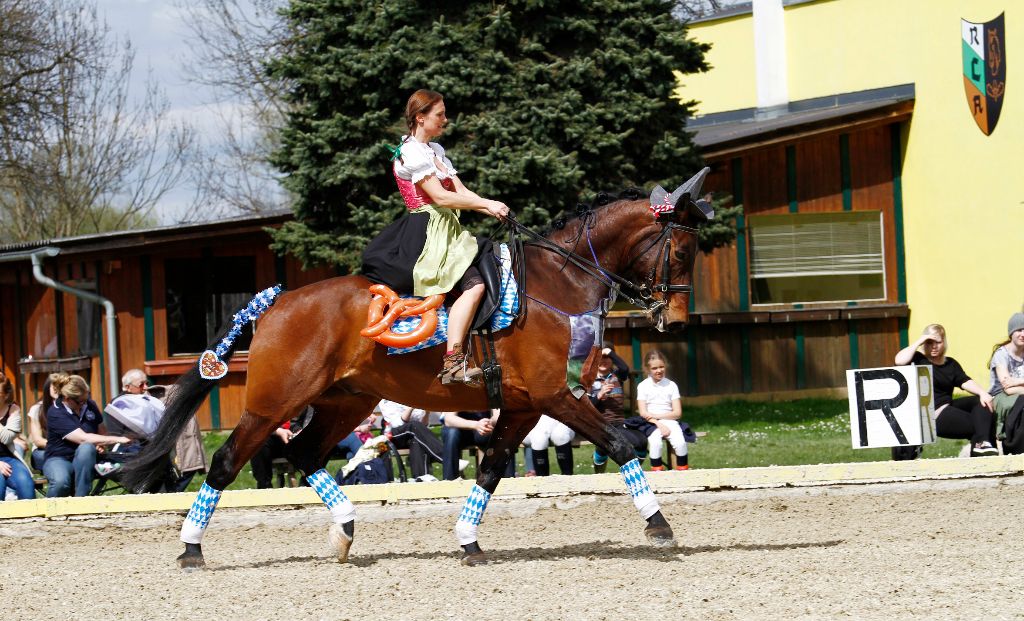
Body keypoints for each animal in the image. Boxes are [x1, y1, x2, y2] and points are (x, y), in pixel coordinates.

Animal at [121, 169, 712, 569]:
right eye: (682, 255)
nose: (677, 319)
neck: (559, 284)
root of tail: (275, 301)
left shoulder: (525, 405)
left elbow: (492, 469)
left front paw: (469, 542)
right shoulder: (556, 395)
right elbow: (622, 442)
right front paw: (659, 525)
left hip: (345, 401)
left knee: (305, 453)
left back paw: (344, 531)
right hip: (273, 403)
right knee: (228, 462)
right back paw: (191, 550)